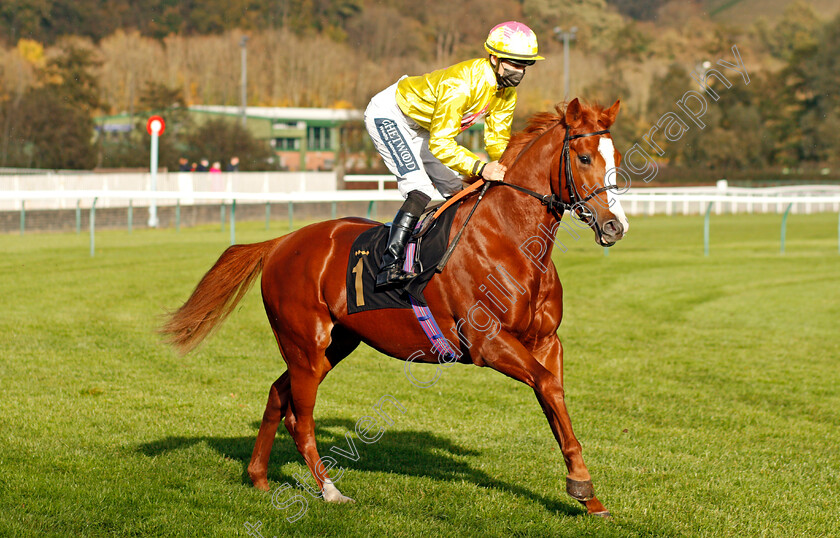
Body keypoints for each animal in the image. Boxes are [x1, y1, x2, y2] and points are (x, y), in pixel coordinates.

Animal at [161, 99, 628, 516]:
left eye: (617, 158)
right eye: (584, 157)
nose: (615, 227)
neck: (512, 241)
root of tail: (279, 243)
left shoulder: (546, 341)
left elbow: (554, 399)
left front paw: (588, 494)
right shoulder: (490, 344)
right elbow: (547, 386)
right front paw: (581, 485)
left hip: (334, 344)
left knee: (279, 394)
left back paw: (258, 476)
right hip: (306, 344)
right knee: (303, 418)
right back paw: (329, 490)